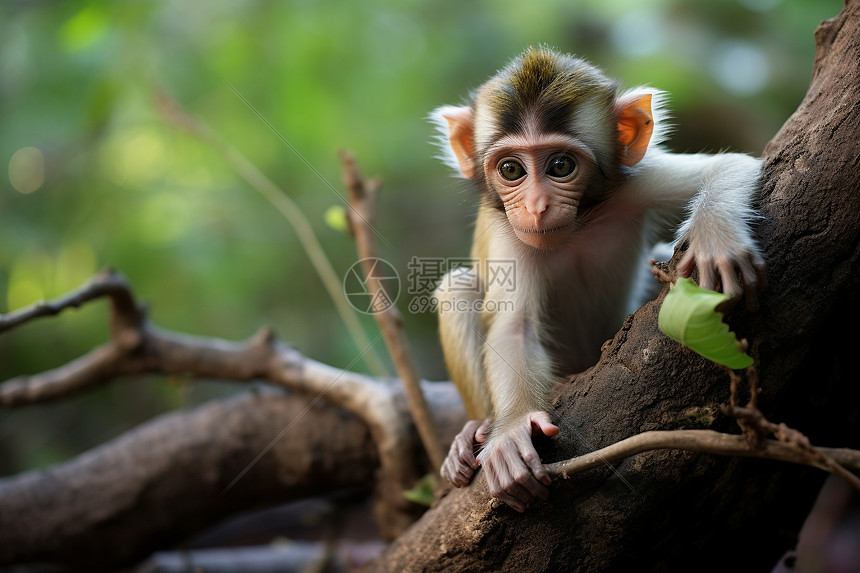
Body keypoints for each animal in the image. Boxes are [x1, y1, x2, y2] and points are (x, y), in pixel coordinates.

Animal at [430, 44, 764, 510]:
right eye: (511, 170)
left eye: (560, 165)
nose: (535, 206)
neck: (578, 227)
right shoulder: (507, 231)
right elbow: (514, 326)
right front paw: (511, 430)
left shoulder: (632, 185)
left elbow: (730, 166)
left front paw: (716, 240)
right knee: (457, 286)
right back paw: (474, 430)